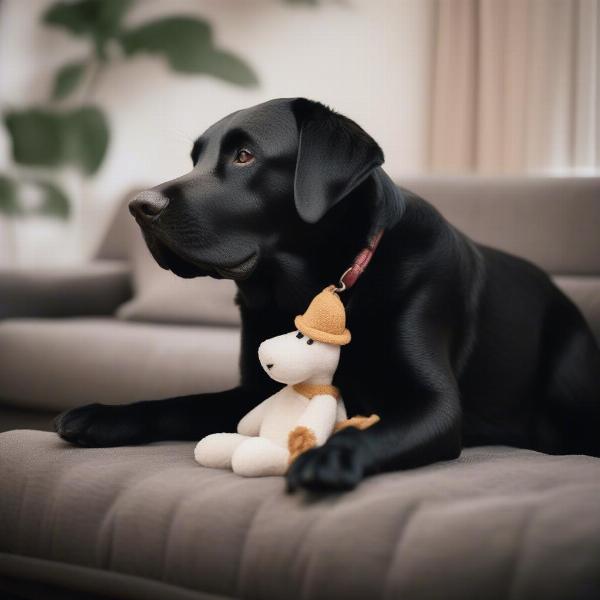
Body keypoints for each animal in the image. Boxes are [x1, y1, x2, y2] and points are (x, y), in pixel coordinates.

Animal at [54, 98, 600, 490]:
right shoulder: (254, 389)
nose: (137, 206)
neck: (310, 291)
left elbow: (376, 428)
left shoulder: (437, 406)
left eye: (244, 155)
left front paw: (328, 457)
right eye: (195, 159)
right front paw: (104, 415)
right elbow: (180, 402)